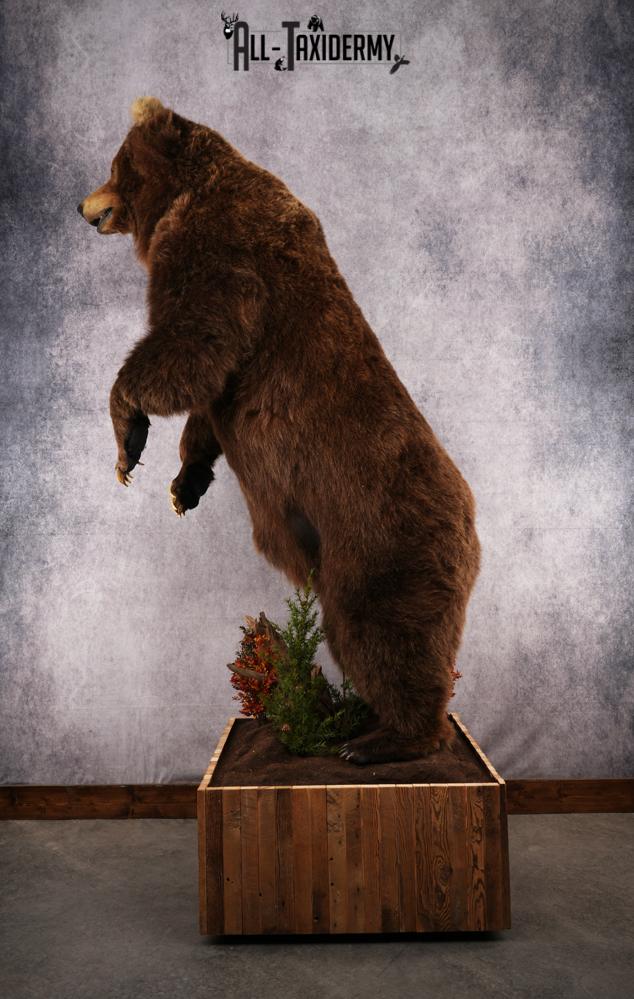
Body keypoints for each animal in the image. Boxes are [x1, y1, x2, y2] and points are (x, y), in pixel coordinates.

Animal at [78, 97, 481, 764]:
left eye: (114, 166)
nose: (82, 207)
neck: (185, 197)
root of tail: (472, 527)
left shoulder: (224, 254)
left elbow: (193, 341)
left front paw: (126, 440)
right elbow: (207, 402)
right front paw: (183, 486)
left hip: (379, 543)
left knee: (384, 638)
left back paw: (384, 741)